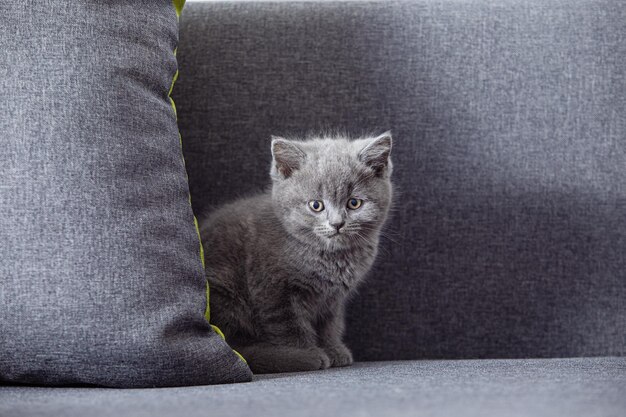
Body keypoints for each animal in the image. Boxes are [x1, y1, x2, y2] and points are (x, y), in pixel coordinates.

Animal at [199, 132, 390, 372]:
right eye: (316, 205)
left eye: (354, 203)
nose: (337, 224)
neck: (329, 257)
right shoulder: (274, 291)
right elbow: (289, 327)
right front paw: (307, 355)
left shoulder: (332, 299)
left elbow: (329, 324)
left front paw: (333, 349)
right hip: (224, 289)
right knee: (239, 345)